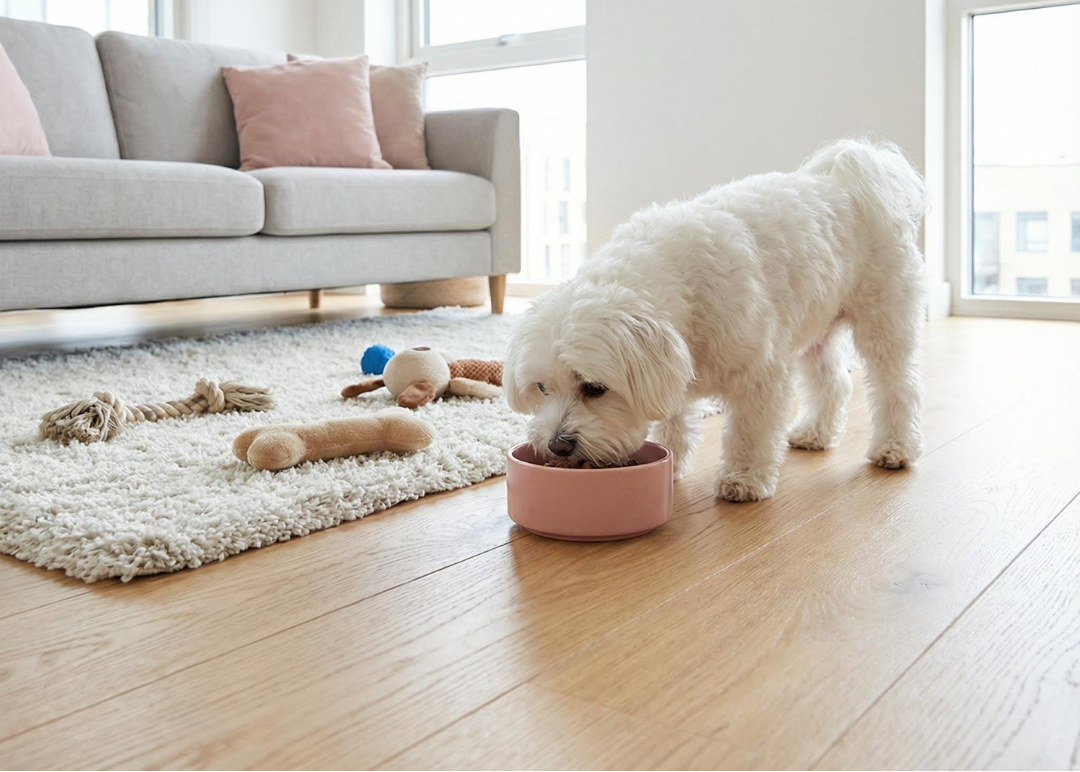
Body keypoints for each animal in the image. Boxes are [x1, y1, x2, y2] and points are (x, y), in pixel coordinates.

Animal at [504, 139, 928, 502]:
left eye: (594, 388)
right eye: (542, 388)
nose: (558, 444)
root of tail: (846, 178)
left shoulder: (760, 375)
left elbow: (749, 432)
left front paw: (744, 479)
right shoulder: (669, 371)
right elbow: (674, 421)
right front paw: (672, 461)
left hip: (883, 321)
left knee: (897, 388)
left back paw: (895, 448)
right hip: (814, 324)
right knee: (833, 382)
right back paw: (815, 433)